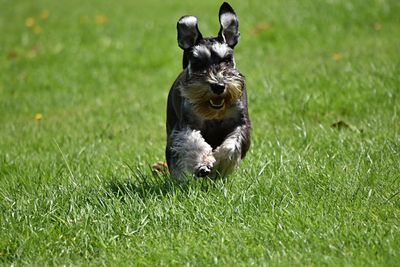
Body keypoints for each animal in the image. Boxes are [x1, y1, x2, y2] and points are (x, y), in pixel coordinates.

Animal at [166, 2, 250, 181]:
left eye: (227, 59)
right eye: (198, 63)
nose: (218, 86)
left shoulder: (241, 124)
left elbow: (231, 146)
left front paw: (219, 166)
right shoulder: (185, 126)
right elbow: (193, 142)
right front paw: (203, 164)